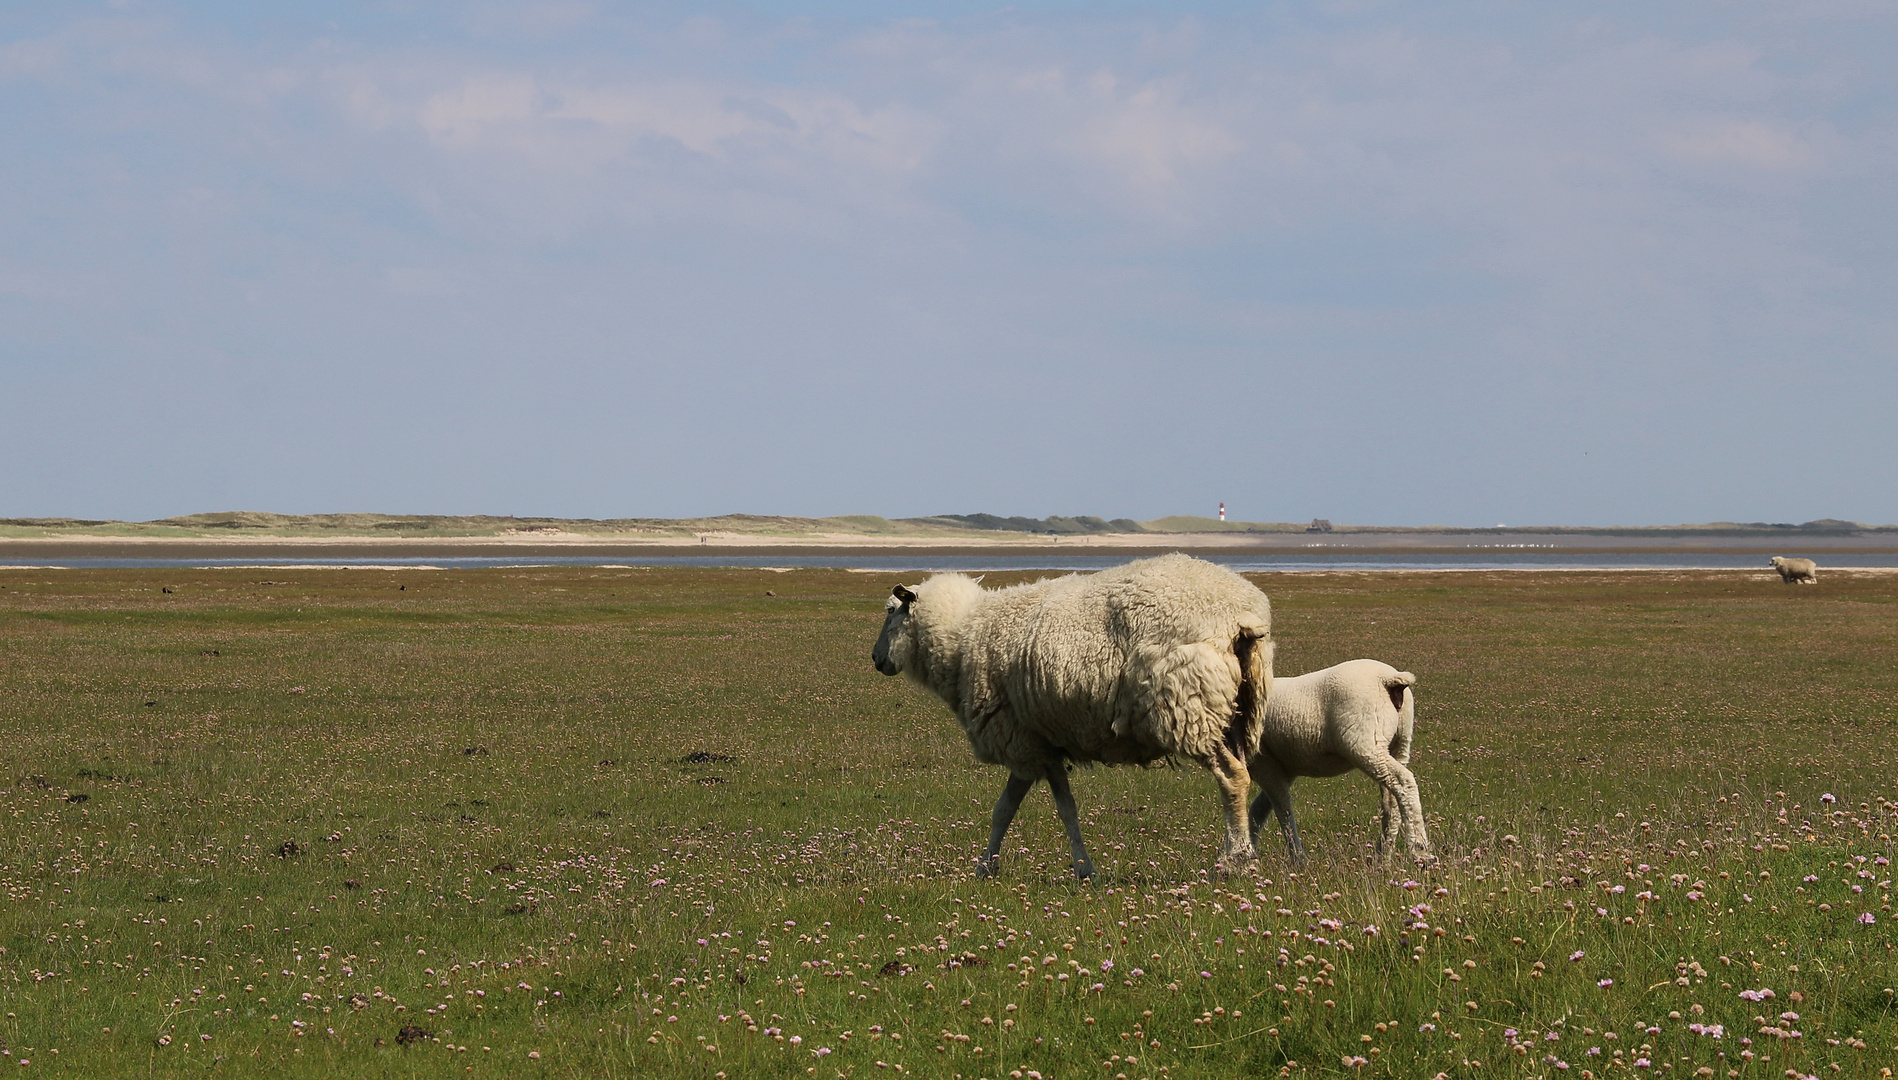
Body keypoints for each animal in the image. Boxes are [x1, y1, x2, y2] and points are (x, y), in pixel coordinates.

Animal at [873, 554, 1275, 876]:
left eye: (891, 611)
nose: (876, 659)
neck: (965, 635)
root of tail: (1241, 616)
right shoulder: (1041, 742)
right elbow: (1017, 808)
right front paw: (990, 866)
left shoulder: (1022, 741)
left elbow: (1040, 809)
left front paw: (1077, 868)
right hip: (1235, 713)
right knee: (1239, 774)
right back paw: (1234, 852)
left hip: (1188, 707)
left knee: (1231, 777)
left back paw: (1237, 861)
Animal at [1245, 656, 1427, 857]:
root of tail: (1388, 679)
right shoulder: (1283, 767)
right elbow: (1260, 809)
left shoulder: (1263, 762)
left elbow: (1280, 808)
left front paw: (1295, 857)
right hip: (1400, 743)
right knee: (1392, 798)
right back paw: (1383, 856)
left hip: (1365, 742)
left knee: (1403, 782)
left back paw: (1420, 850)